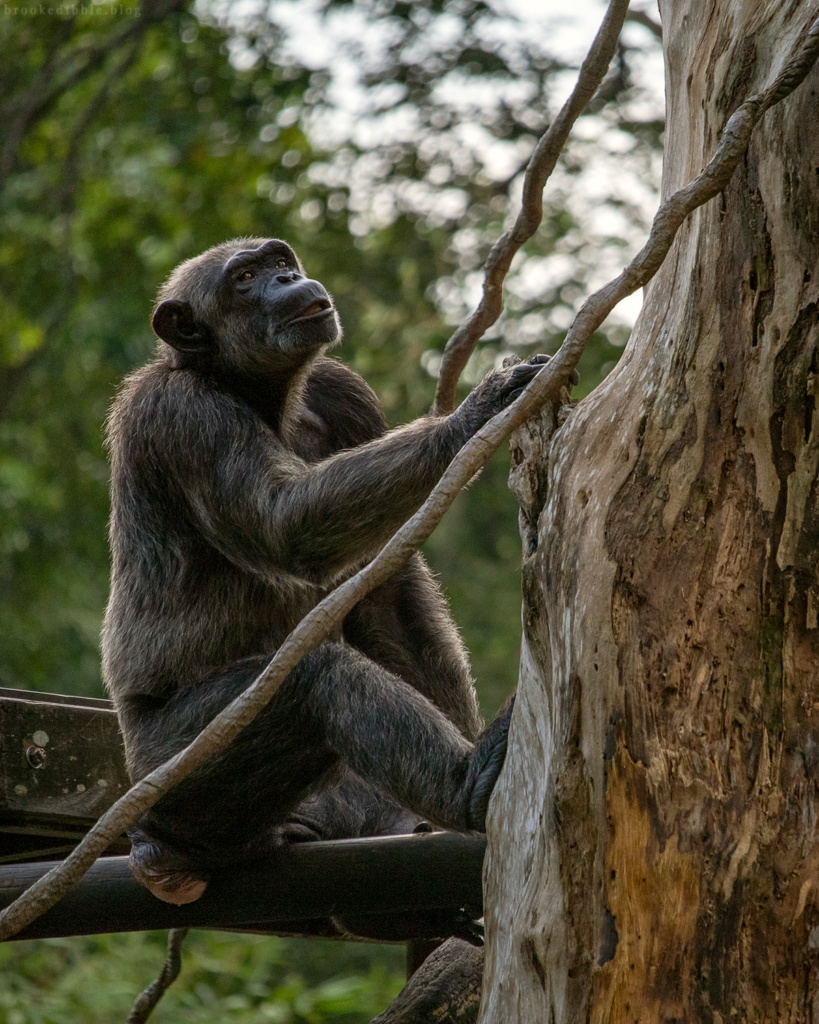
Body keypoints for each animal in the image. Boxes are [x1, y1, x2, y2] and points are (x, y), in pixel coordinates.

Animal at [103, 237, 548, 905]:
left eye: (278, 261)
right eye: (245, 278)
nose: (288, 278)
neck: (257, 392)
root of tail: (155, 853)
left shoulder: (345, 395)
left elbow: (389, 595)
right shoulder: (183, 415)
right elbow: (281, 519)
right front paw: (481, 407)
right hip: (173, 773)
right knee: (317, 680)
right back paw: (468, 784)